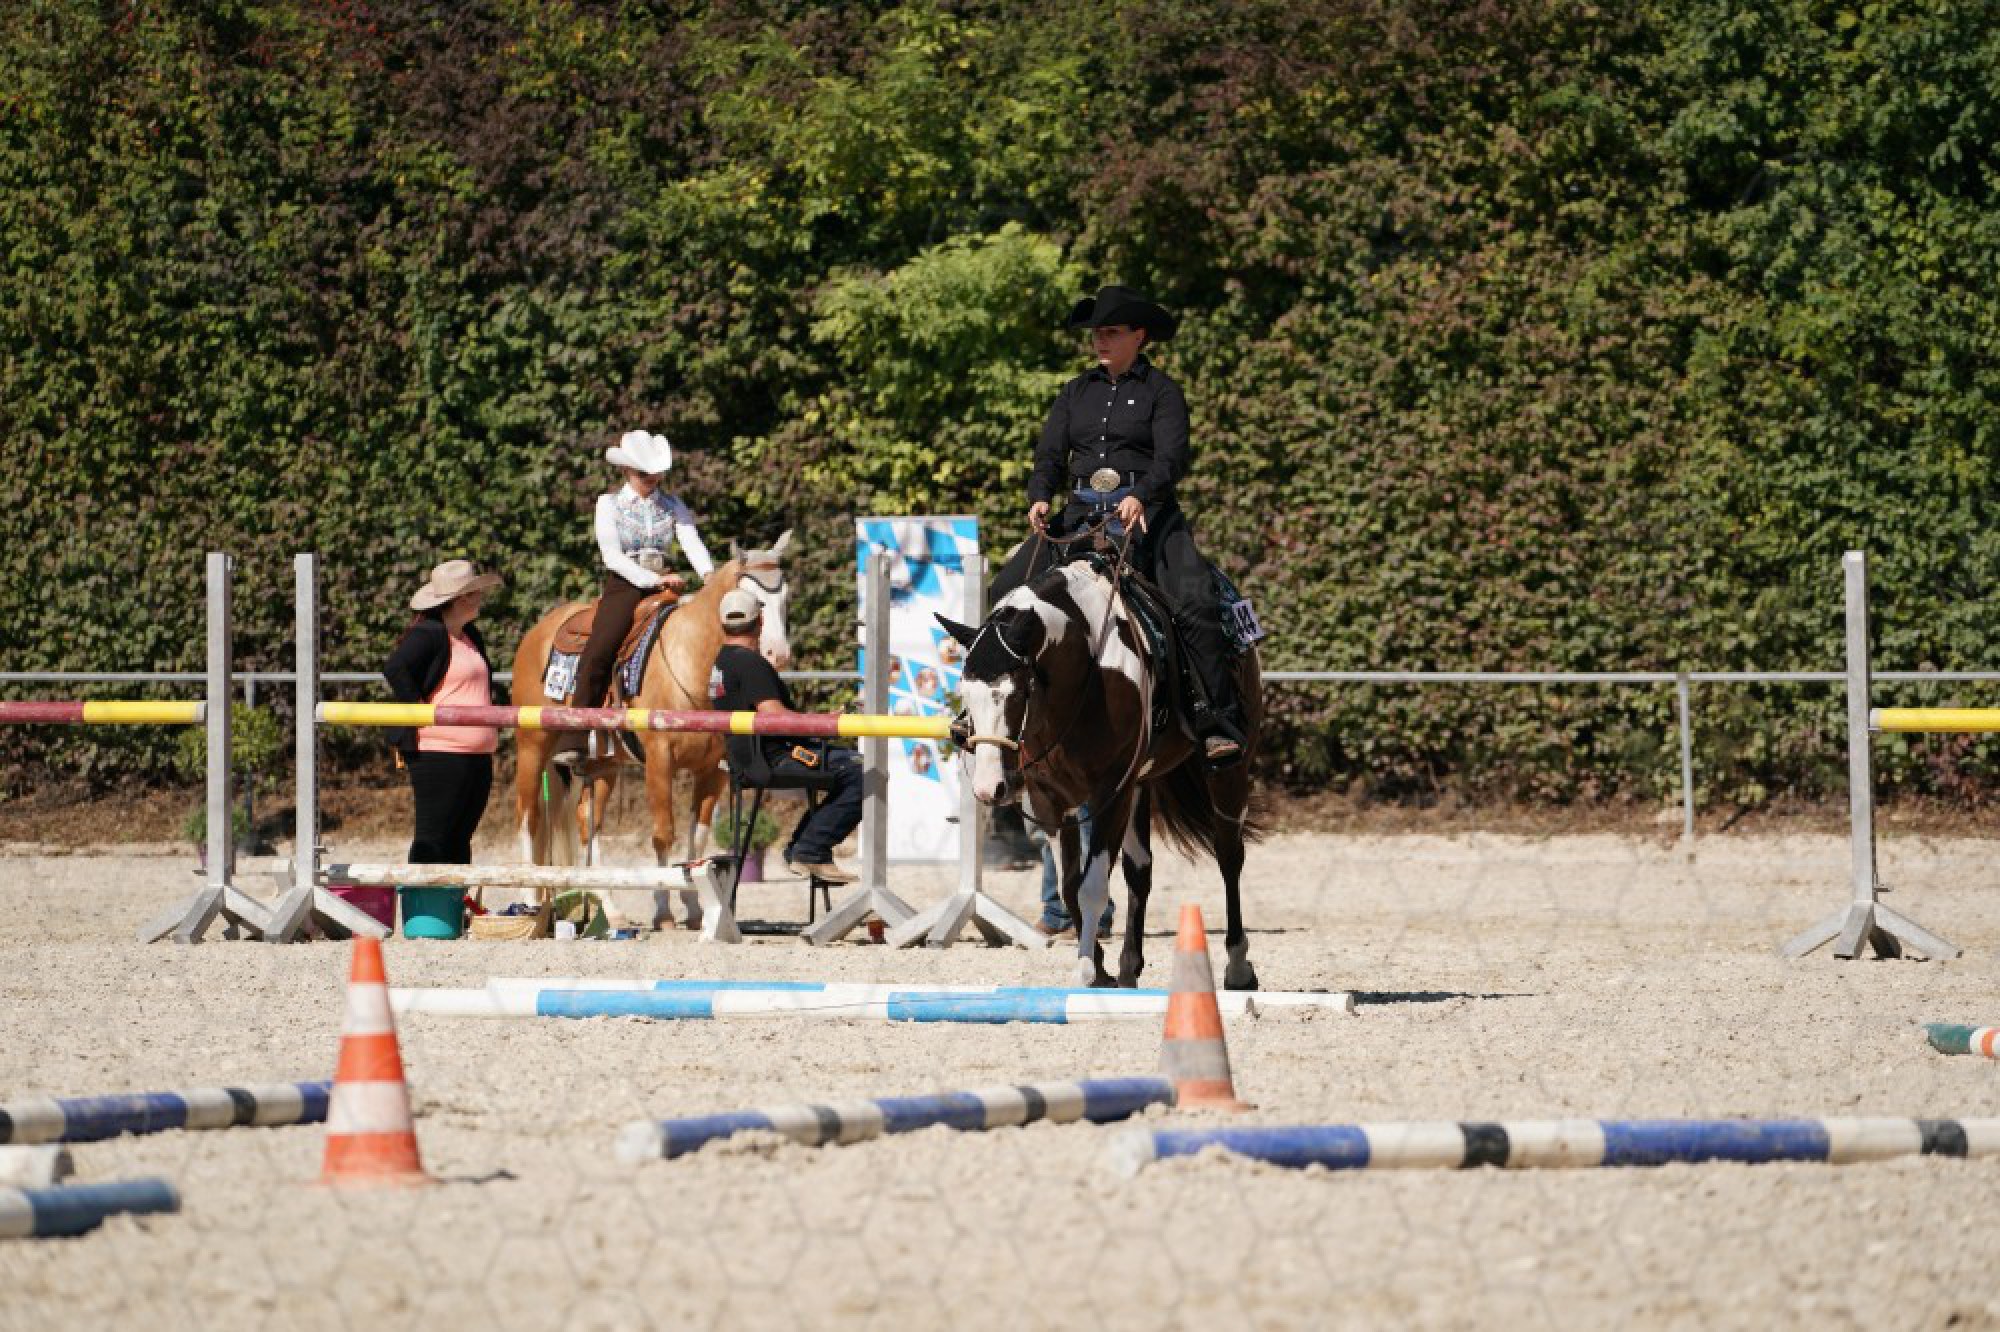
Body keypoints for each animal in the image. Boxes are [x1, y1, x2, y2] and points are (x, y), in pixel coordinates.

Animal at [510, 532, 794, 926]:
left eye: (786, 598)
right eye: (757, 601)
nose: (778, 655)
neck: (690, 660)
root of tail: (538, 631)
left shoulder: (713, 771)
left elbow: (698, 837)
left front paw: (695, 908)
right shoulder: (660, 760)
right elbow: (663, 835)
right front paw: (664, 912)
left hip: (603, 765)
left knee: (586, 823)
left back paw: (611, 910)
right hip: (532, 746)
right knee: (529, 818)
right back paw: (527, 900)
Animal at [939, 556, 1264, 989]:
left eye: (1019, 692)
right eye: (966, 692)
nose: (991, 787)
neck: (1086, 665)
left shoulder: (1110, 791)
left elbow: (1091, 886)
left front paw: (1087, 970)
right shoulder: (1049, 799)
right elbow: (1069, 886)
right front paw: (1100, 965)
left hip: (1228, 769)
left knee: (1229, 854)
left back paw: (1238, 967)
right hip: (1140, 784)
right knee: (1139, 869)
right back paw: (1129, 968)